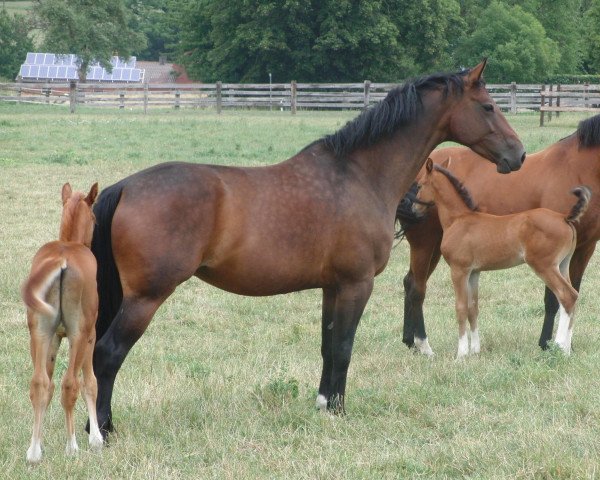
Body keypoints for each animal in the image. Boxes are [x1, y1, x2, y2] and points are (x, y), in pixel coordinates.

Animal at [22, 182, 102, 464]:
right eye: (95, 218)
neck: (69, 243)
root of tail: (61, 260)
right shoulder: (90, 335)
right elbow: (90, 383)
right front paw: (96, 439)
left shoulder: (55, 337)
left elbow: (47, 385)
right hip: (78, 334)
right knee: (70, 384)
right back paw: (72, 446)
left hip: (39, 332)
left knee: (39, 384)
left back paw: (34, 451)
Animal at [90, 59, 524, 436]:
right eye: (488, 106)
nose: (517, 154)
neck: (359, 174)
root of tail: (125, 187)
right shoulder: (356, 284)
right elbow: (345, 347)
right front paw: (340, 411)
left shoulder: (332, 287)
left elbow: (328, 346)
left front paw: (323, 405)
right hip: (145, 298)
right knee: (107, 354)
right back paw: (104, 432)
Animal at [400, 113, 600, 356]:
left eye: (420, 186)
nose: (412, 207)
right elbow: (474, 307)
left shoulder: (585, 247)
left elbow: (465, 307)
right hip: (424, 243)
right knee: (416, 287)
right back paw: (418, 343)